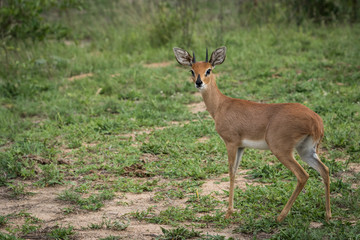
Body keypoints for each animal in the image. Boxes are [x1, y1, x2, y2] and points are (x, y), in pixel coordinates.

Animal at [173, 46, 330, 222]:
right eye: (192, 70)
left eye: (209, 69)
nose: (199, 82)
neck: (221, 106)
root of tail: (316, 120)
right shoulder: (241, 146)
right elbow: (235, 171)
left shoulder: (231, 143)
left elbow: (231, 172)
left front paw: (228, 213)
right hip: (306, 151)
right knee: (324, 170)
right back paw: (328, 215)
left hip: (282, 150)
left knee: (303, 175)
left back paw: (280, 216)